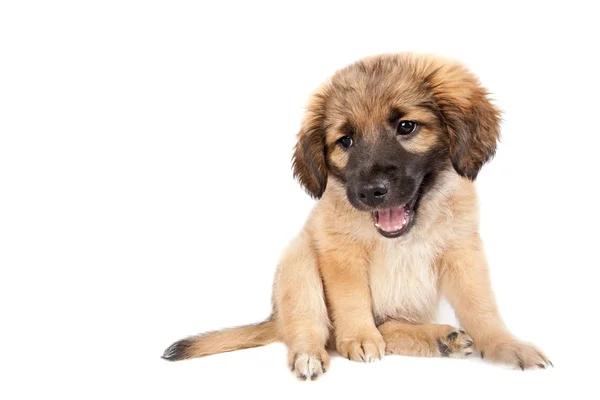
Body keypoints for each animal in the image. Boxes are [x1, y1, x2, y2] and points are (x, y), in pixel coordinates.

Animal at [162, 54, 552, 382]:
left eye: (406, 126)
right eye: (345, 140)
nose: (369, 192)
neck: (404, 236)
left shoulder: (462, 253)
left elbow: (481, 306)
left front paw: (505, 345)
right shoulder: (339, 253)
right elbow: (351, 300)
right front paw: (360, 338)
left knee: (389, 327)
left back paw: (442, 338)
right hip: (297, 260)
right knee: (314, 328)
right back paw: (310, 354)